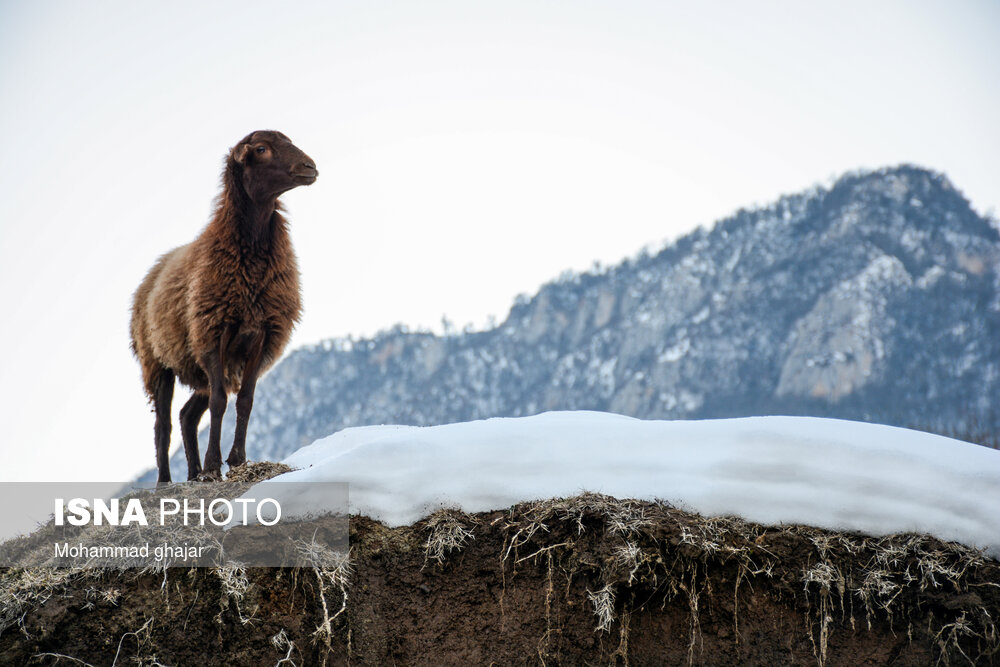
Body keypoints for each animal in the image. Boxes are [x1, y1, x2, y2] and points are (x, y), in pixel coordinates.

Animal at [129, 130, 316, 482]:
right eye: (261, 149)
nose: (310, 167)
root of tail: (152, 272)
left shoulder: (260, 336)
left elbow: (245, 401)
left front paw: (237, 461)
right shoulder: (213, 333)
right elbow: (219, 403)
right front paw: (215, 463)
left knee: (187, 416)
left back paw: (193, 474)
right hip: (157, 363)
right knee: (163, 424)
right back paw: (166, 481)